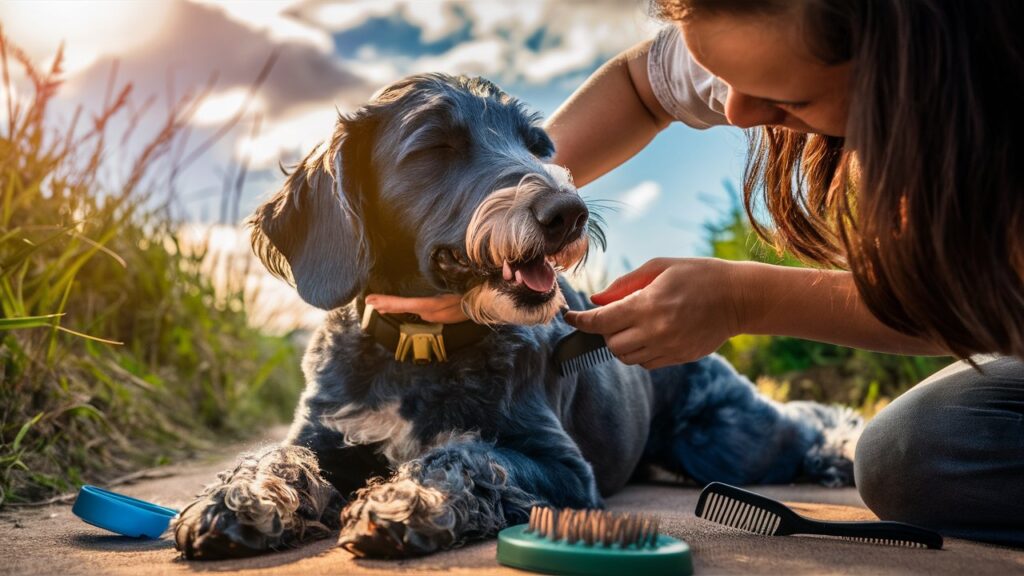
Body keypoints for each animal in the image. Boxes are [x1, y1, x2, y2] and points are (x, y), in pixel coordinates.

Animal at [172, 73, 860, 557]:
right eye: (436, 146)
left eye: (536, 146)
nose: (568, 212)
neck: (420, 342)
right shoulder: (323, 434)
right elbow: (279, 455)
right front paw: (239, 500)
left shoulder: (561, 468)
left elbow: (469, 456)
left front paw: (406, 501)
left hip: (726, 444)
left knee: (804, 425)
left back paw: (842, 452)